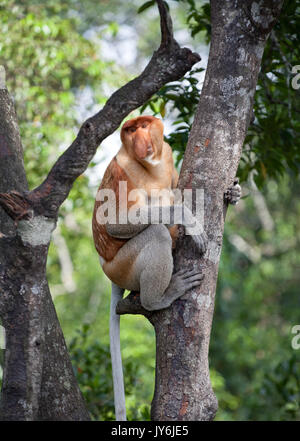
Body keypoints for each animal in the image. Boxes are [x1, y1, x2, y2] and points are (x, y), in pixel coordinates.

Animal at [92, 114, 241, 420]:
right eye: (130, 130)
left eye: (143, 126)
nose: (139, 141)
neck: (151, 165)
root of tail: (109, 271)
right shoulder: (123, 170)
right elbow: (114, 221)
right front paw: (188, 219)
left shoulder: (168, 156)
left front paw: (235, 192)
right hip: (123, 265)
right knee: (156, 233)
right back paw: (160, 297)